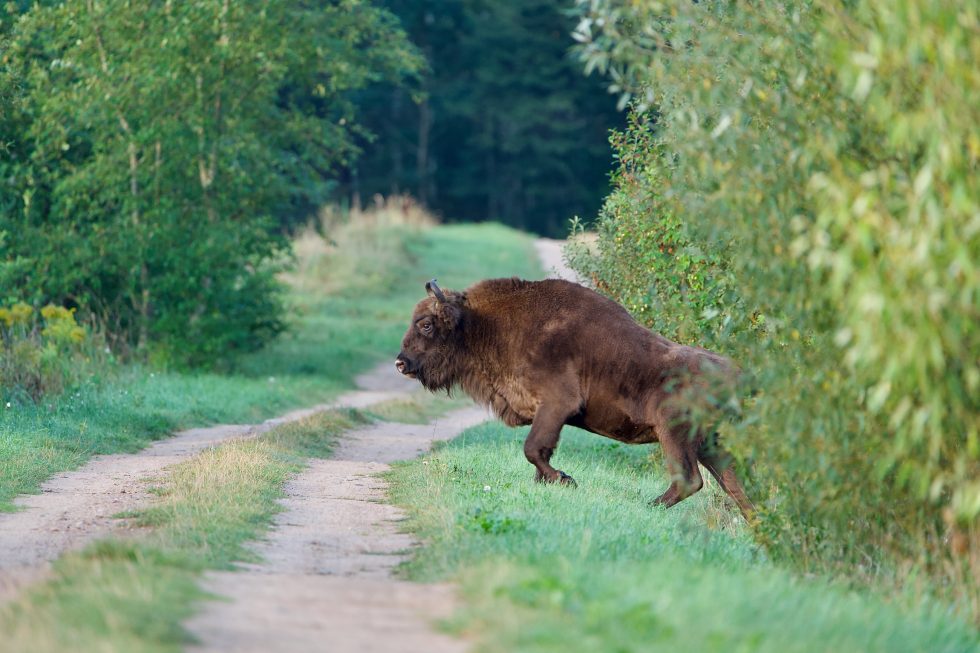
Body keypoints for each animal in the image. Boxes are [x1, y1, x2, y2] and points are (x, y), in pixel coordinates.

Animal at [395, 277, 754, 519]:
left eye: (426, 324)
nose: (401, 363)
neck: (482, 325)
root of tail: (734, 373)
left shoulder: (557, 405)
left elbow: (533, 448)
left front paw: (565, 480)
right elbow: (539, 452)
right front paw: (550, 482)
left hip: (675, 433)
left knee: (690, 480)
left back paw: (646, 507)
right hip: (710, 444)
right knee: (733, 485)